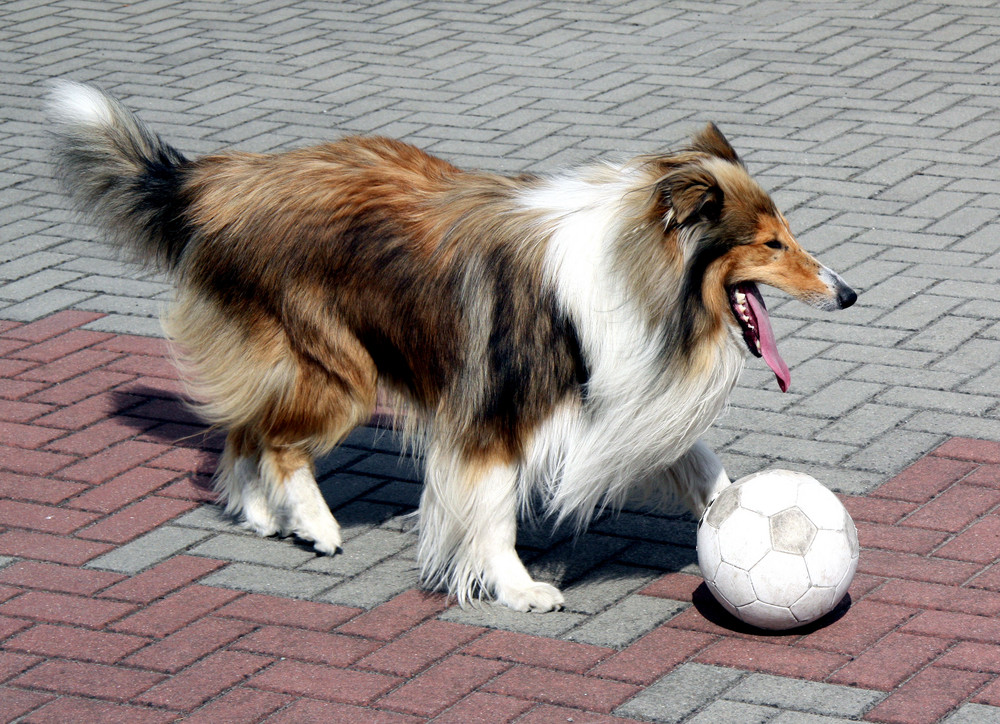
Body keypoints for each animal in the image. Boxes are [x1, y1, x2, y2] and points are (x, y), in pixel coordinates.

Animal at [47, 79, 856, 612]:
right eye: (771, 243)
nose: (848, 293)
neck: (641, 277)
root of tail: (221, 181)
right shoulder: (496, 416)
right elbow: (492, 512)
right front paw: (519, 588)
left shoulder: (620, 393)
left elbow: (707, 468)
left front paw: (740, 514)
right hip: (338, 368)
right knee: (276, 440)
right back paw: (314, 524)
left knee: (245, 428)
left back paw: (260, 513)